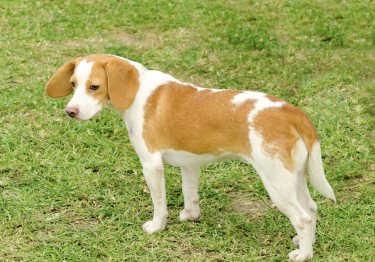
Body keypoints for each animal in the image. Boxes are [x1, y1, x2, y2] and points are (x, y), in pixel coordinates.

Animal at [45, 54, 336, 260]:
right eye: (73, 85)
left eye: (94, 87)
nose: (70, 112)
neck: (138, 89)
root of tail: (291, 112)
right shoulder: (189, 164)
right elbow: (190, 192)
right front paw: (190, 215)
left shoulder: (151, 165)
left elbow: (159, 204)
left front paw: (156, 227)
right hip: (293, 177)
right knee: (311, 208)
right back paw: (305, 241)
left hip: (276, 182)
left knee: (303, 217)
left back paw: (304, 254)